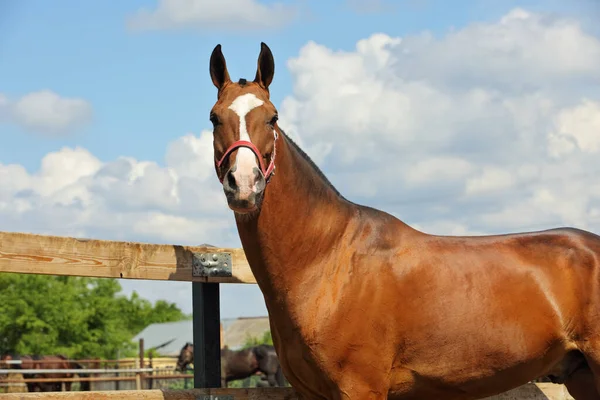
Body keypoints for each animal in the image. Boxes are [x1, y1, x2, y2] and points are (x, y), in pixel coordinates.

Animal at [205, 41, 600, 400]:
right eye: (214, 118)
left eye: (272, 117)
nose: (244, 184)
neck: (327, 262)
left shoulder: (360, 388)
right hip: (581, 375)